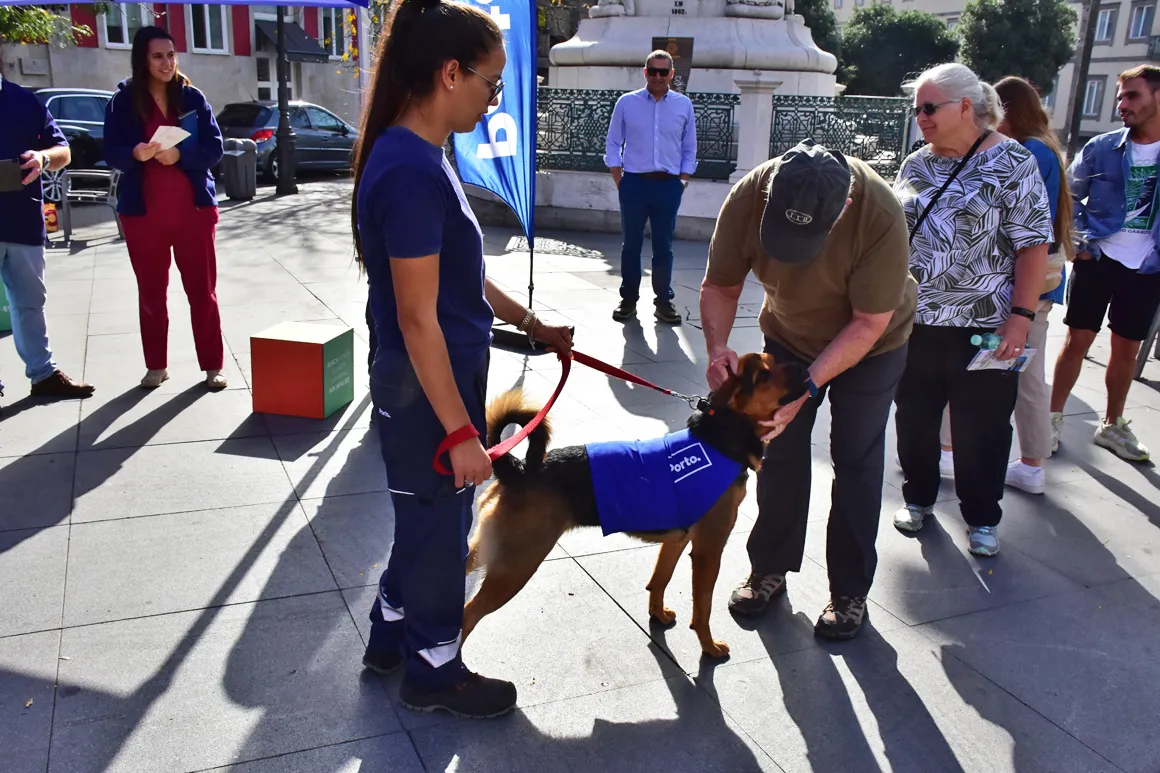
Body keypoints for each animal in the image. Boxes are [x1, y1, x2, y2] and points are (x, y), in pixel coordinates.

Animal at [462, 352, 809, 658]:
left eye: (774, 361)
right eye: (763, 375)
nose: (805, 367)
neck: (719, 439)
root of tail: (518, 469)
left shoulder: (677, 541)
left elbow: (659, 581)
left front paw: (658, 615)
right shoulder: (708, 551)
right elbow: (703, 608)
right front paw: (708, 647)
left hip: (487, 548)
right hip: (516, 565)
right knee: (467, 615)